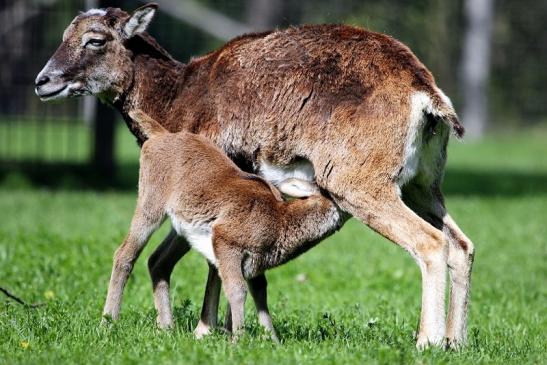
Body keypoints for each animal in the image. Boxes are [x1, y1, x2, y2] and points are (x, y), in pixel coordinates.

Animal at [103, 109, 342, 338]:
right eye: (333, 195)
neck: (280, 219)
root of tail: (160, 135)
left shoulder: (255, 264)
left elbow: (261, 293)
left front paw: (272, 340)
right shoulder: (226, 243)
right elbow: (237, 290)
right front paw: (239, 339)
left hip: (181, 229)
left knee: (157, 261)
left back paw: (166, 327)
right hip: (150, 206)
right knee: (124, 254)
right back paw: (108, 320)